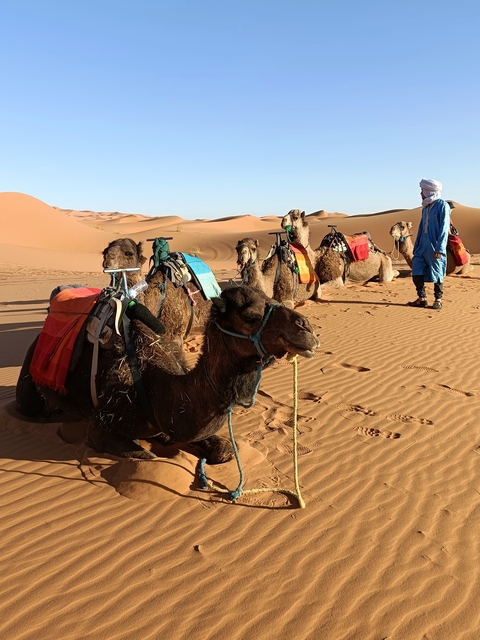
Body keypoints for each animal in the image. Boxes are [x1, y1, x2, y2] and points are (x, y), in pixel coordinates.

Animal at [17, 285, 319, 463]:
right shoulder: (103, 423)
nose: (307, 329)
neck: (155, 386)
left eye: (275, 299)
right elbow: (143, 455)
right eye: (251, 316)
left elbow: (224, 450)